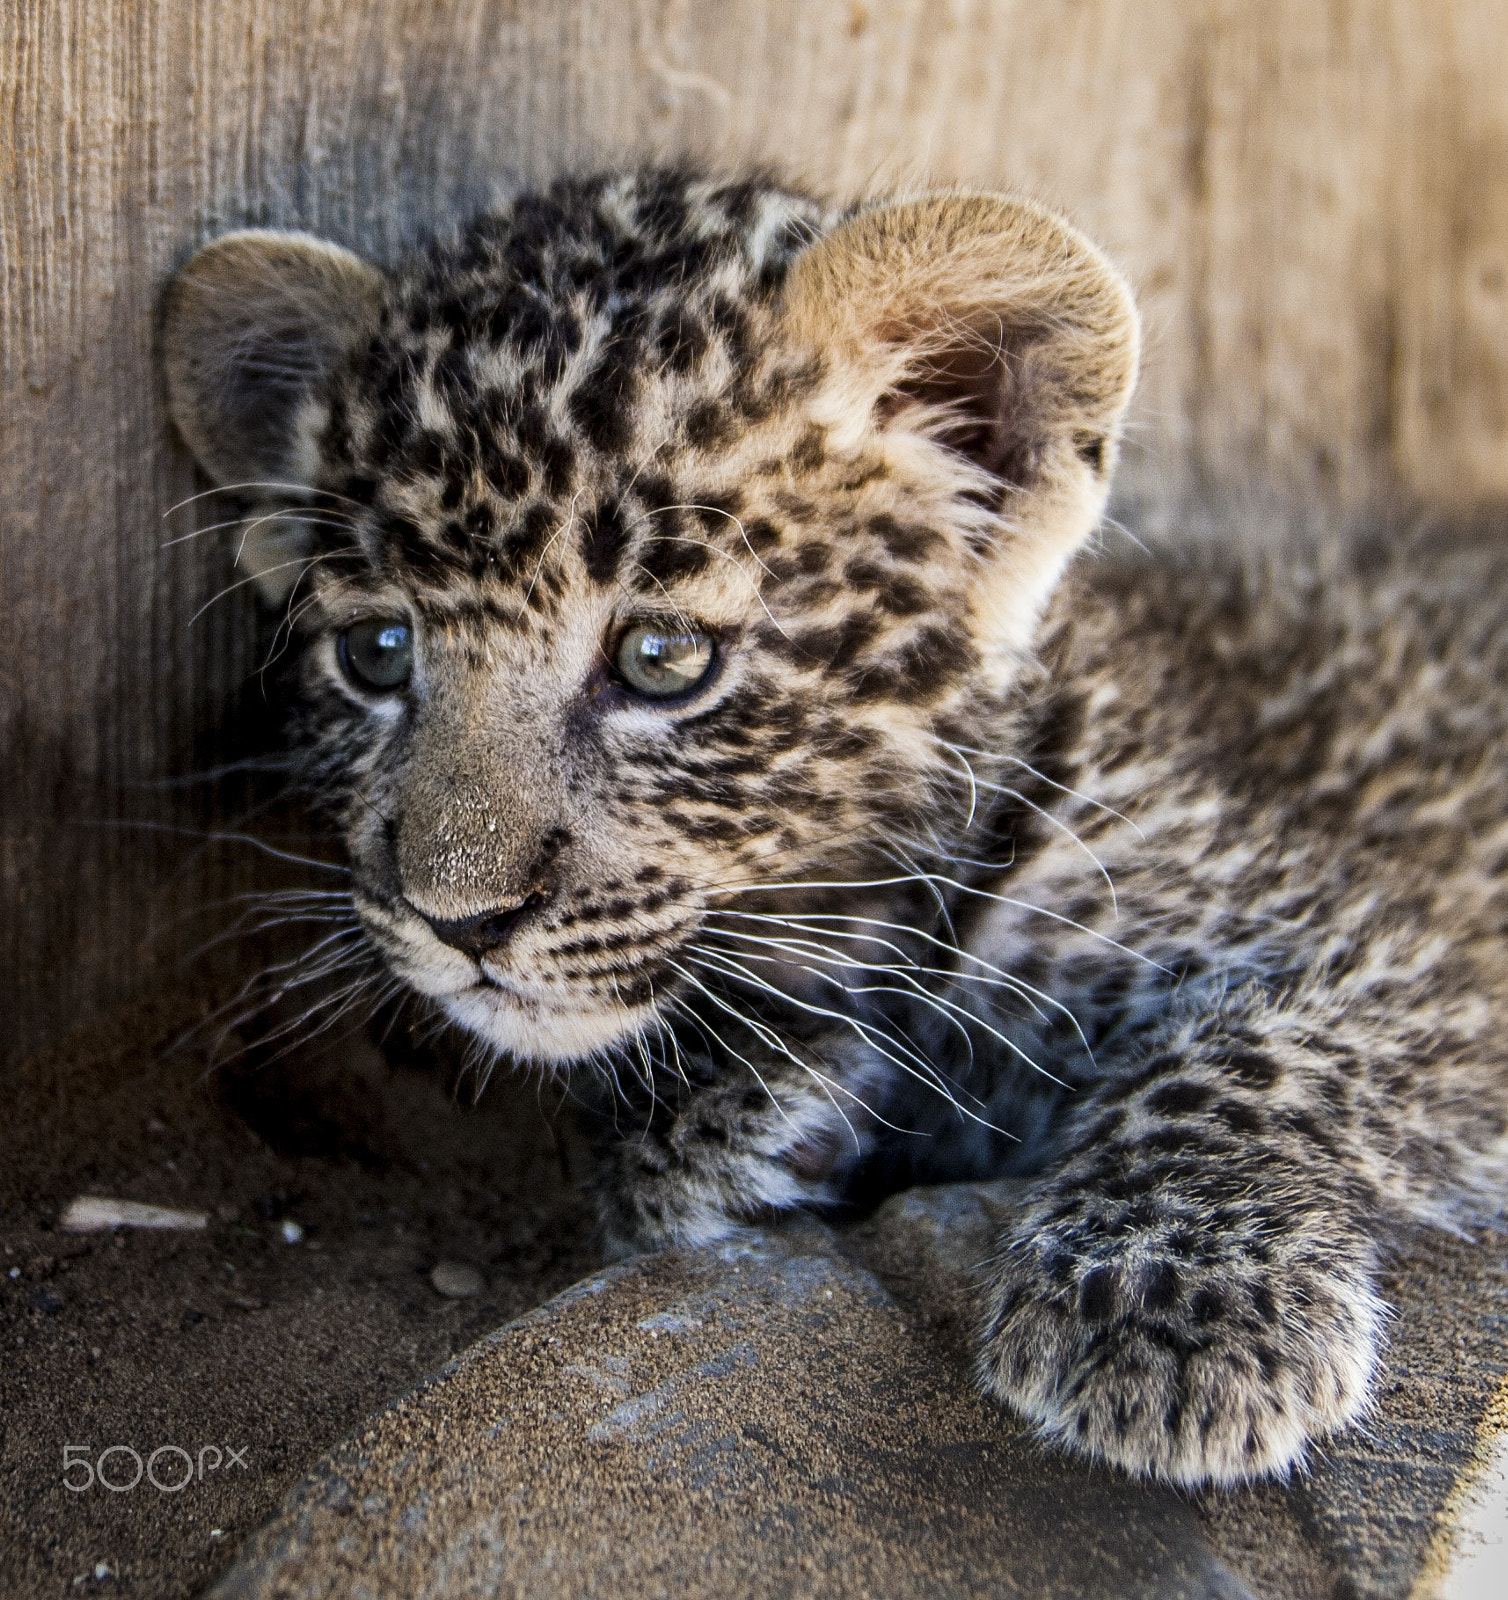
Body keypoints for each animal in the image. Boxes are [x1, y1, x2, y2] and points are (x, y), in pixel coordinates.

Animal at [161, 168, 1508, 1489]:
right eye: (376, 653)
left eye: (662, 659)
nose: (459, 919)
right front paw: (748, 1105)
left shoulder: (1415, 936)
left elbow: (1257, 1050)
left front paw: (1170, 1290)